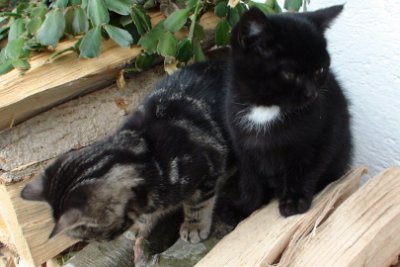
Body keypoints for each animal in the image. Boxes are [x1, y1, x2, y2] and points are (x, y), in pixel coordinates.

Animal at [20, 62, 231, 245]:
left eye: (88, 236)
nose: (97, 242)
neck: (148, 157)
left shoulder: (209, 168)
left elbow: (198, 205)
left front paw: (194, 226)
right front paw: (139, 225)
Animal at [225, 5, 354, 217]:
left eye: (319, 70)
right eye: (289, 74)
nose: (312, 93)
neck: (266, 109)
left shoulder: (321, 135)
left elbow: (304, 169)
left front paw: (294, 201)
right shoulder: (243, 144)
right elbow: (250, 179)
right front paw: (245, 208)